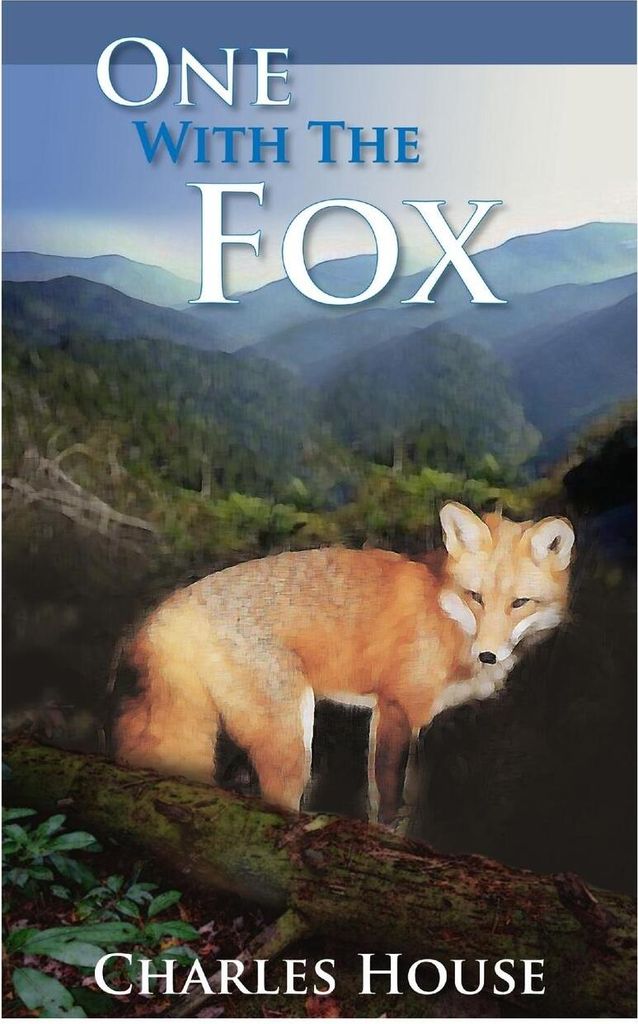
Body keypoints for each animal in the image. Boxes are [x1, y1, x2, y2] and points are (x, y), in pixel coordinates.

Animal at [114, 503, 575, 825]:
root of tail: (169, 609)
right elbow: (386, 802)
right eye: (475, 597)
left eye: (520, 603)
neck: (446, 613)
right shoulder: (396, 709)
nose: (488, 654)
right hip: (291, 741)